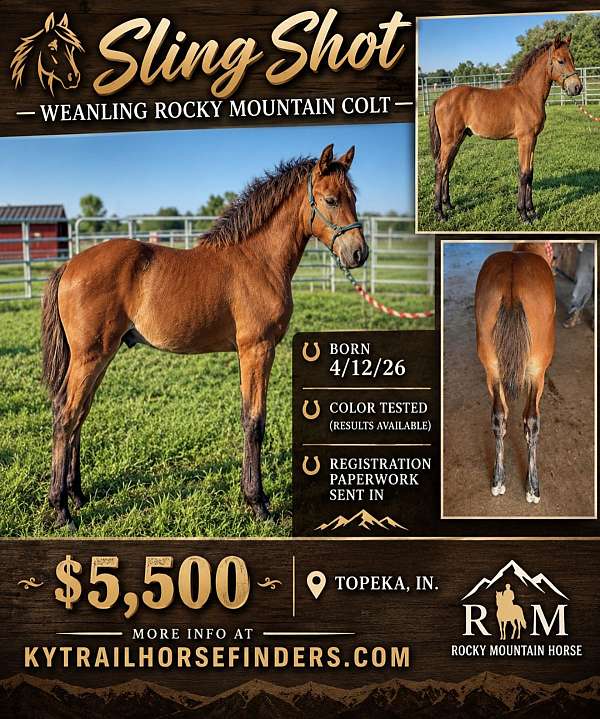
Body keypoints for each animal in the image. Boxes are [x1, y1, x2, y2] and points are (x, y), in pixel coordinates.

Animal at [41, 145, 368, 529]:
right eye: (331, 199)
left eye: (354, 198)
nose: (359, 253)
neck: (257, 259)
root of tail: (68, 266)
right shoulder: (257, 349)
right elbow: (254, 421)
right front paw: (258, 504)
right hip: (90, 356)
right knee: (66, 415)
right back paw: (61, 509)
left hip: (100, 356)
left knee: (79, 413)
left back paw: (77, 496)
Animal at [429, 35, 582, 223]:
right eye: (560, 61)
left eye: (572, 59)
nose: (577, 88)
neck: (529, 95)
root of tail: (439, 99)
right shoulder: (525, 139)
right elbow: (523, 174)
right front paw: (523, 214)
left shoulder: (533, 139)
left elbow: (530, 173)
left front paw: (532, 211)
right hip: (449, 140)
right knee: (440, 168)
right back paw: (440, 213)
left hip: (458, 139)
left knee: (447, 167)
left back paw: (448, 205)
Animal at [474, 242, 555, 504]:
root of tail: (512, 286)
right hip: (537, 369)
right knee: (531, 420)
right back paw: (533, 488)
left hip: (491, 366)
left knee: (499, 416)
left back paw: (497, 481)